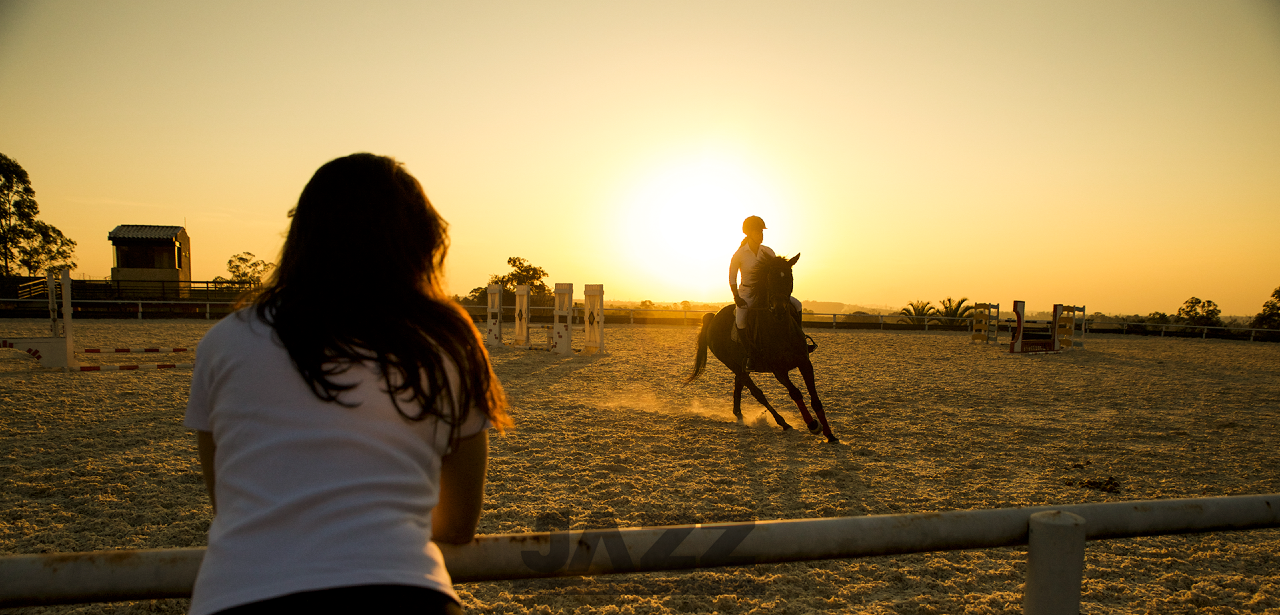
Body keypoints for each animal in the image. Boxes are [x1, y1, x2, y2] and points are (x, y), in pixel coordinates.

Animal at [691, 252, 839, 443]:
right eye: (770, 279)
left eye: (789, 277)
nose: (779, 309)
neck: (781, 330)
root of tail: (712, 317)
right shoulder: (779, 371)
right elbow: (796, 393)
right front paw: (813, 425)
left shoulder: (805, 363)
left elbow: (815, 398)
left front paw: (830, 434)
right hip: (731, 364)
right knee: (756, 392)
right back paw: (782, 422)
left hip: (740, 365)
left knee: (739, 384)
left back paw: (739, 414)